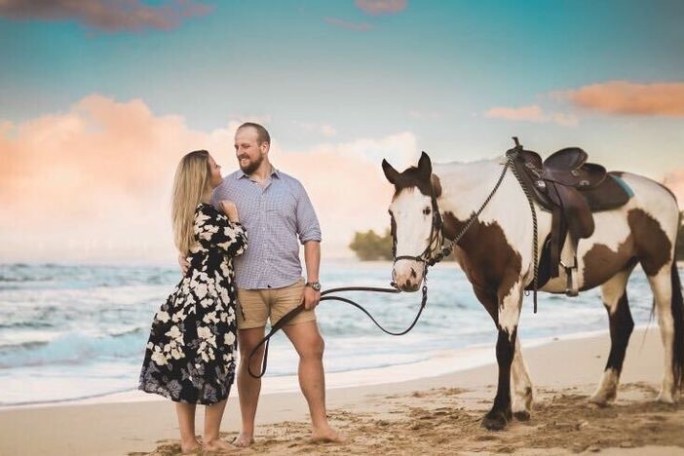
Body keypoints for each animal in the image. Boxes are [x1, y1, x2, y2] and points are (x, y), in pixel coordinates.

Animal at [382, 151, 680, 432]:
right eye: (391, 213)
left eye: (426, 211)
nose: (405, 276)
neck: (489, 215)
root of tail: (665, 192)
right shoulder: (485, 291)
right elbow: (513, 344)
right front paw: (522, 403)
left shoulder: (510, 284)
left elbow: (504, 348)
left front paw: (498, 414)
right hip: (616, 275)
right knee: (621, 327)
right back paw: (603, 396)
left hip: (658, 265)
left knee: (667, 323)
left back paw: (667, 393)